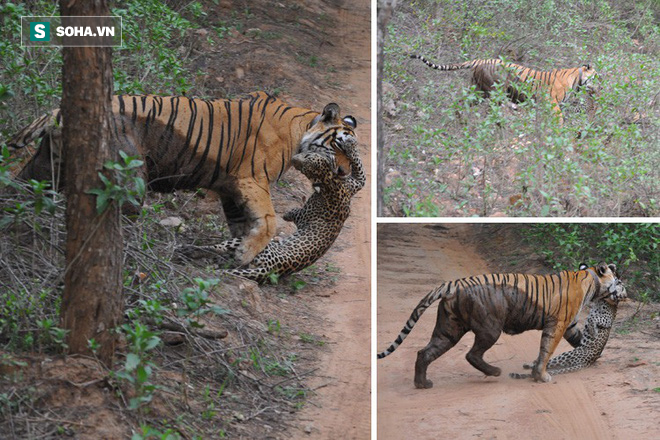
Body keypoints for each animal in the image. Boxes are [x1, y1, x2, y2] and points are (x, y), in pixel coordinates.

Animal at [6, 92, 356, 264]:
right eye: (339, 147)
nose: (343, 173)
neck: (300, 130)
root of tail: (57, 112)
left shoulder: (230, 189)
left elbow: (242, 225)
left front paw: (234, 253)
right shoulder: (252, 179)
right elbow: (268, 222)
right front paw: (245, 255)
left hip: (46, 168)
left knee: (20, 188)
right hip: (129, 177)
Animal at [378, 262, 628, 388]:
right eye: (619, 280)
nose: (625, 292)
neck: (591, 281)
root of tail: (453, 284)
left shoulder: (570, 324)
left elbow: (579, 342)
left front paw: (593, 356)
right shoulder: (557, 324)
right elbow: (546, 351)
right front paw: (541, 376)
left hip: (448, 329)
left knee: (424, 352)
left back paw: (422, 384)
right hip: (489, 328)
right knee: (471, 354)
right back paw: (495, 371)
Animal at [410, 54, 596, 124]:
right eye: (596, 76)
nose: (599, 87)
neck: (577, 80)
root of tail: (480, 60)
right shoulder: (552, 103)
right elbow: (559, 119)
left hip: (477, 91)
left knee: (461, 102)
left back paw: (459, 119)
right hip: (494, 92)